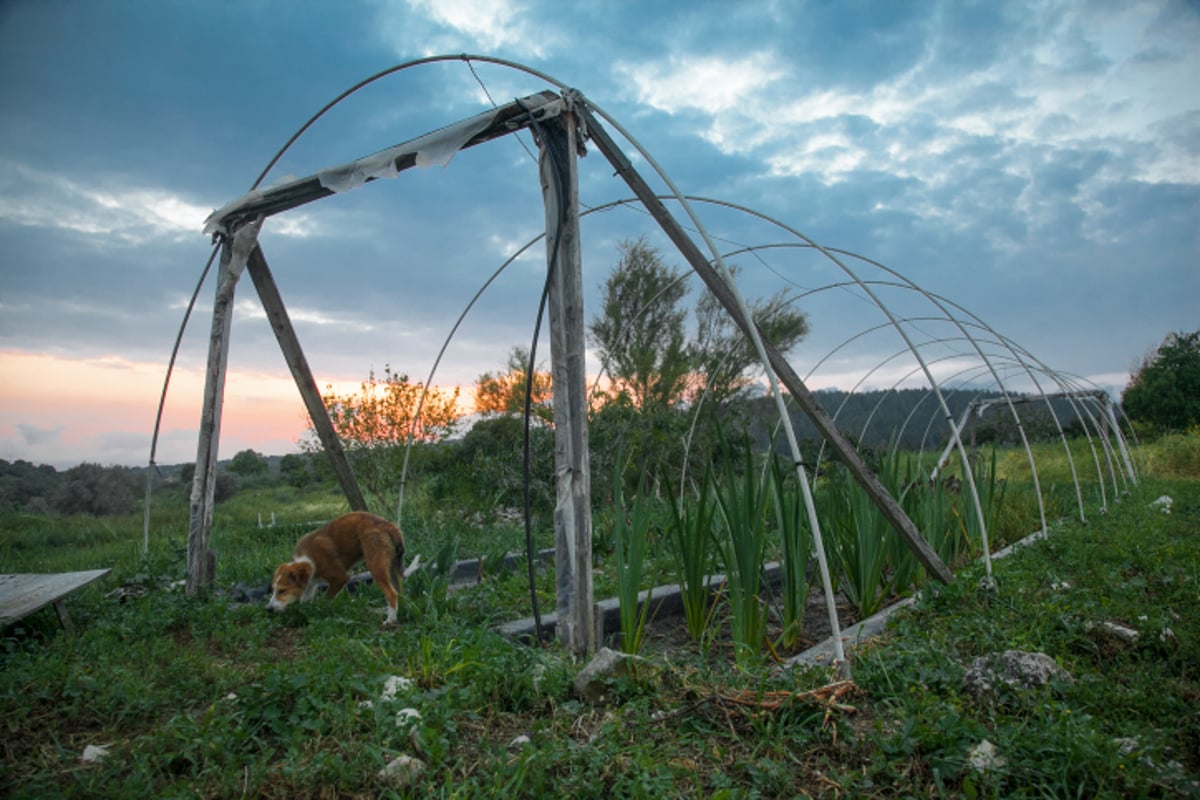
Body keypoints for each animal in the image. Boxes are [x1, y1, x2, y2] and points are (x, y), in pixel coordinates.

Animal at [270, 513, 420, 623]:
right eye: (273, 590)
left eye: (282, 590)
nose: (268, 609)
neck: (308, 559)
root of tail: (389, 526)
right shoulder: (311, 584)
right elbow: (305, 600)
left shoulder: (340, 577)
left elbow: (325, 599)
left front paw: (320, 610)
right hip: (392, 567)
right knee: (399, 592)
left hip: (376, 566)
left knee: (391, 593)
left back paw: (390, 620)